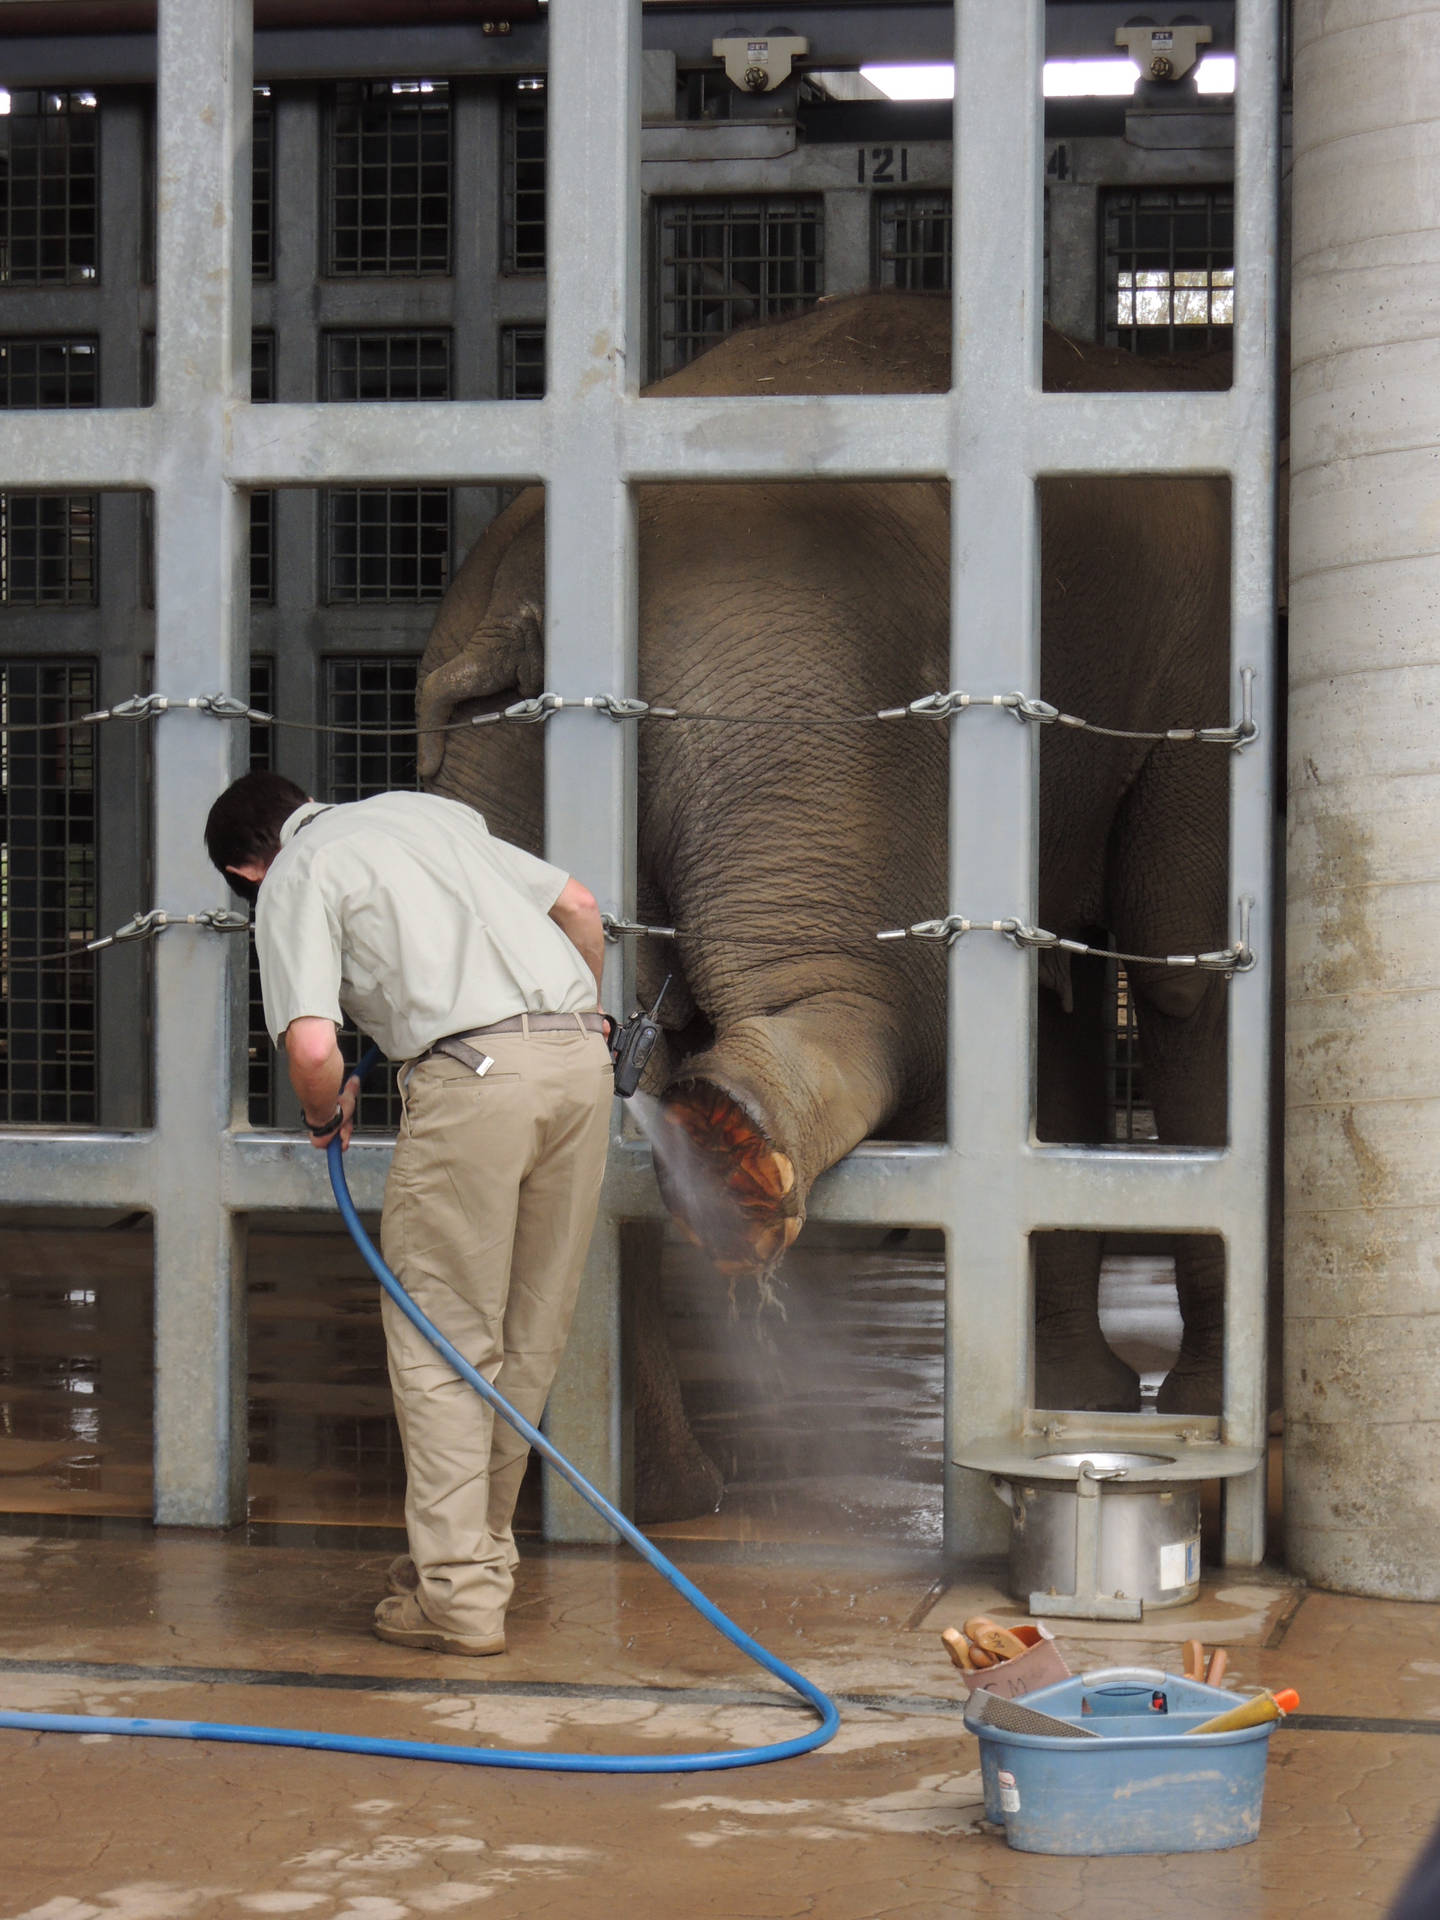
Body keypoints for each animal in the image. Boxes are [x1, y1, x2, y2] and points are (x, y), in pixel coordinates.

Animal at [414, 288, 1244, 1512]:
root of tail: (521, 592)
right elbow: (1180, 969)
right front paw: (1177, 1416)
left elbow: (1063, 1010)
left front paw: (1088, 1404)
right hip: (799, 709)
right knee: (885, 1001)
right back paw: (734, 1151)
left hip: (508, 758)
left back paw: (668, 1488)